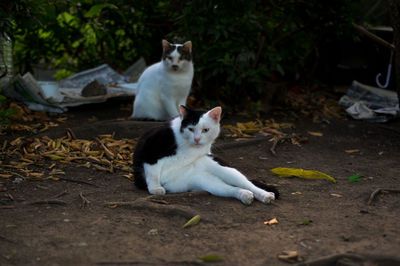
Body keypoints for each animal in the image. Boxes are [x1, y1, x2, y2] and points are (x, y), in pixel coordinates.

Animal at [133, 105, 276, 205]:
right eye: (190, 129)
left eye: (205, 130)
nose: (197, 139)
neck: (188, 145)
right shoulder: (149, 149)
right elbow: (152, 172)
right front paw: (155, 188)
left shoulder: (207, 153)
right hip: (207, 182)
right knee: (230, 189)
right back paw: (246, 196)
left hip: (220, 167)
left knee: (247, 184)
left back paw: (265, 195)